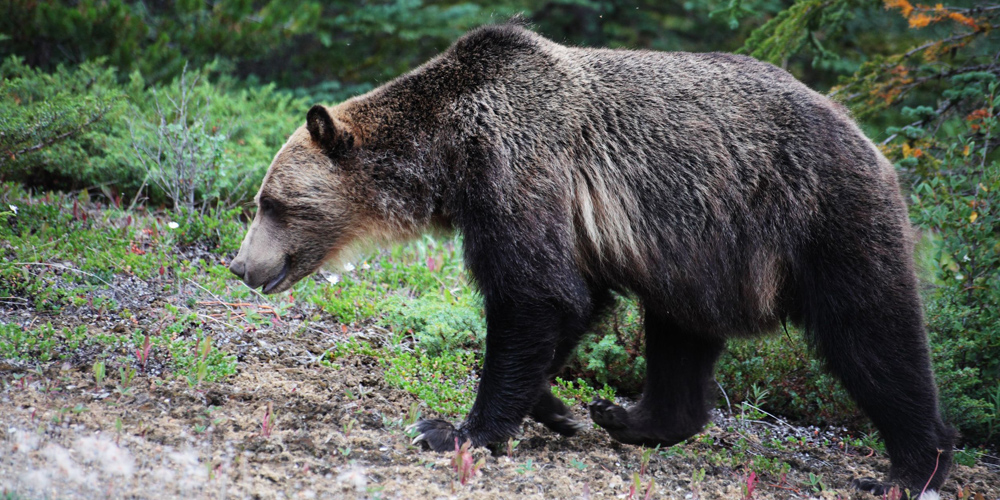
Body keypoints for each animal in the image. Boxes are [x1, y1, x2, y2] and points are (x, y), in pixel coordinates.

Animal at [227, 21, 952, 494]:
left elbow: (536, 297)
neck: (450, 156)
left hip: (820, 215)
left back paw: (912, 465)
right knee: (680, 330)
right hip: (696, 246)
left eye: (273, 202)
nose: (240, 265)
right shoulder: (562, 217)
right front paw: (558, 407)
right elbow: (569, 304)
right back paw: (633, 418)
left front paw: (455, 430)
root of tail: (868, 135)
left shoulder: (519, 171)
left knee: (872, 330)